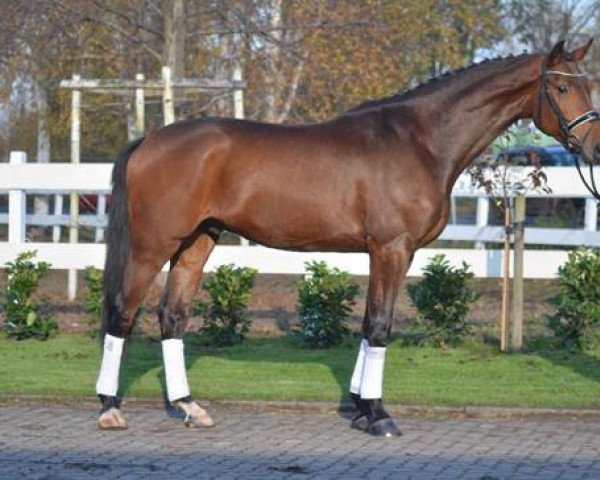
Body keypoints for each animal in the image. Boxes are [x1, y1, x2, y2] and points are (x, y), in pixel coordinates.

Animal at [95, 39, 600, 436]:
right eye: (560, 88)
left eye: (587, 86)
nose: (594, 148)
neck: (421, 140)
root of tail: (149, 140)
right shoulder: (392, 249)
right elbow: (379, 326)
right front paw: (378, 415)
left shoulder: (389, 253)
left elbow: (368, 324)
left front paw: (359, 407)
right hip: (153, 244)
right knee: (123, 312)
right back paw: (109, 408)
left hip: (198, 241)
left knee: (172, 317)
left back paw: (188, 407)